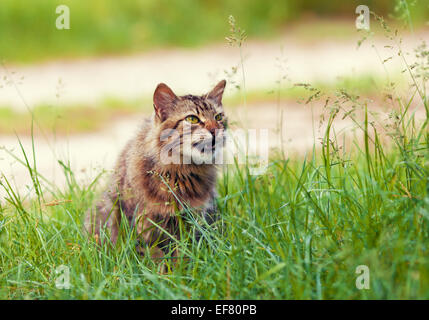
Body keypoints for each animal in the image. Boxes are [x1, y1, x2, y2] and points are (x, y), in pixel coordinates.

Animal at [85, 79, 229, 260]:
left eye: (218, 117)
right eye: (192, 119)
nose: (215, 130)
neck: (181, 172)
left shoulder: (193, 220)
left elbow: (183, 254)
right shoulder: (143, 225)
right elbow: (155, 257)